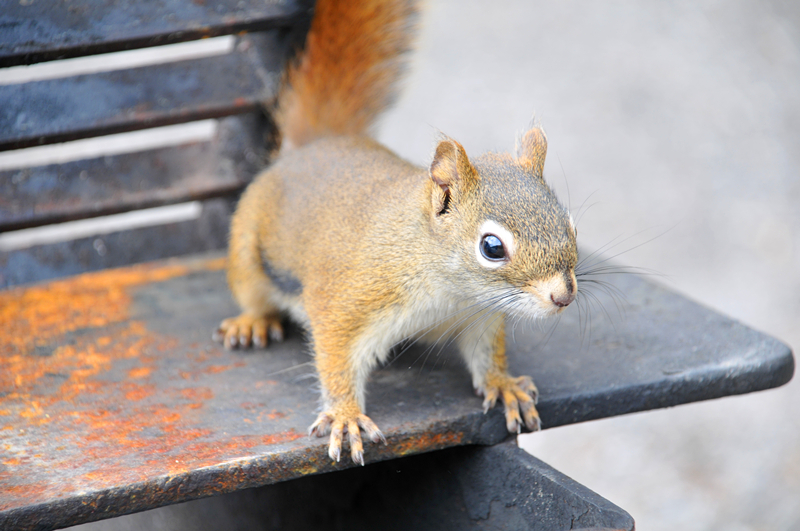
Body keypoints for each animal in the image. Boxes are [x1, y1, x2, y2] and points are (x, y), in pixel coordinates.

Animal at [212, 0, 576, 466]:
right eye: (492, 247)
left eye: (571, 225)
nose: (563, 296)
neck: (449, 290)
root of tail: (315, 147)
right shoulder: (348, 301)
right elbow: (335, 355)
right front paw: (346, 415)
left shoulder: (478, 316)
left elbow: (485, 354)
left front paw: (503, 384)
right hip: (247, 252)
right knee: (255, 294)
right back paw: (252, 322)